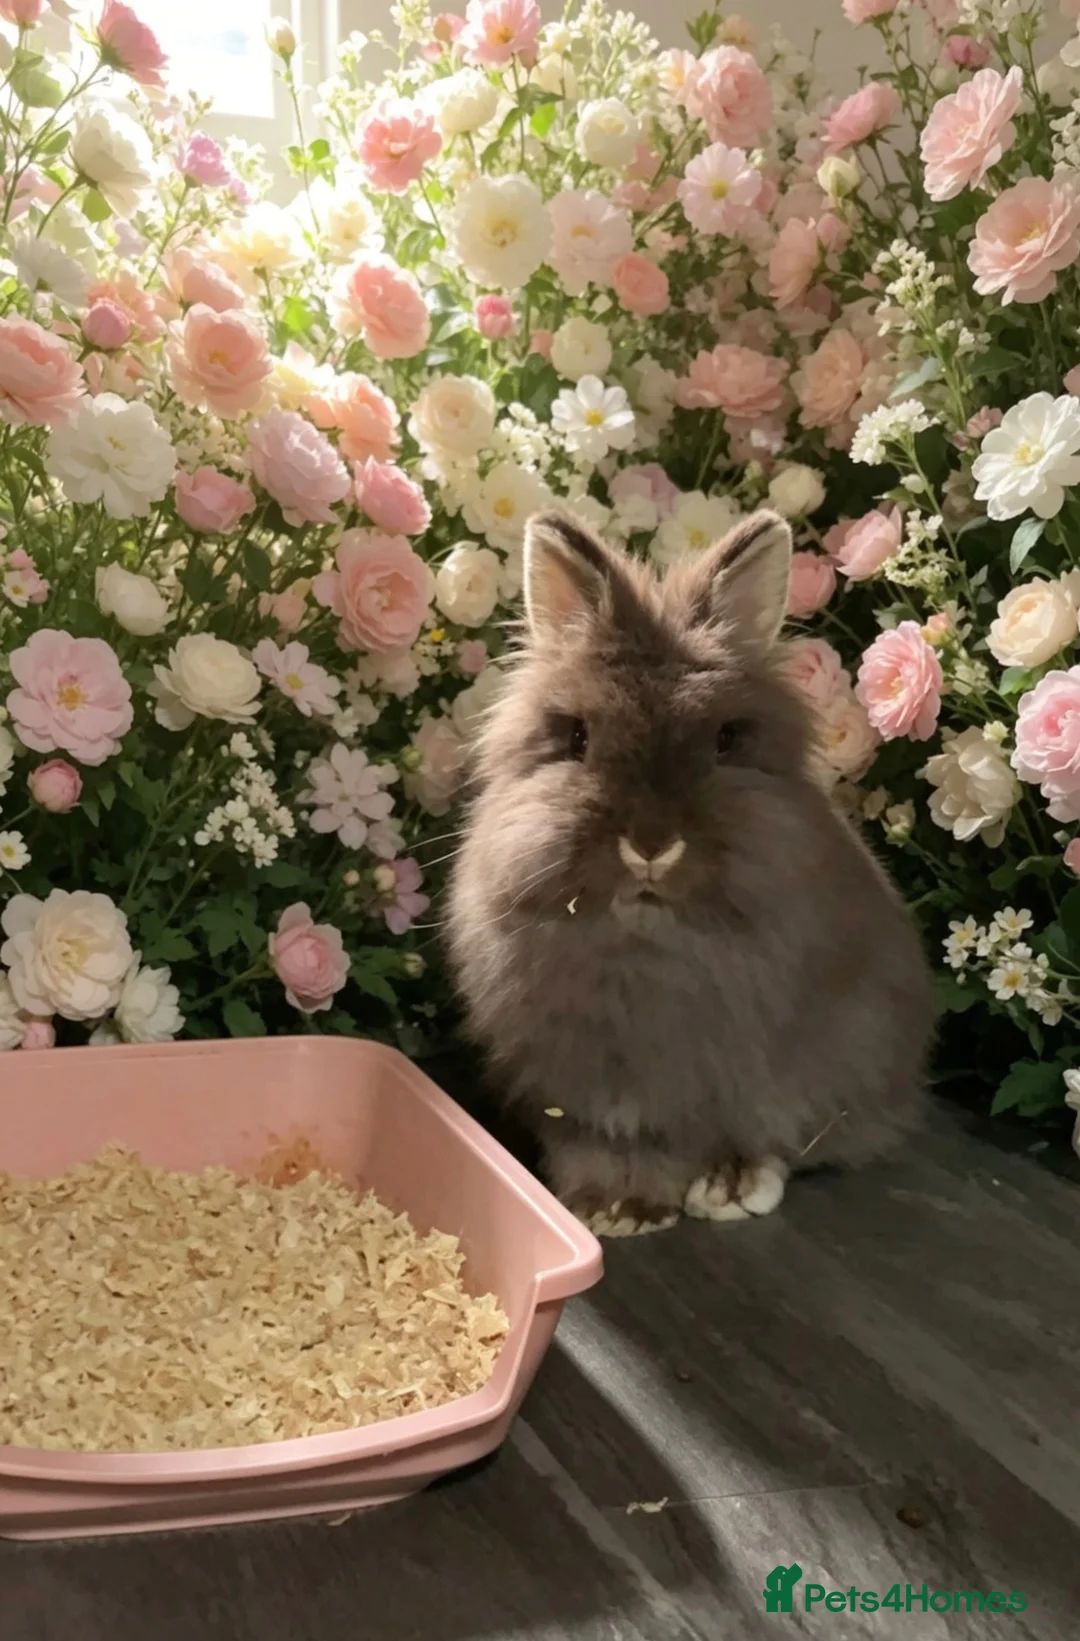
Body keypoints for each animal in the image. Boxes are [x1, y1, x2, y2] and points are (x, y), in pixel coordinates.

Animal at [446, 508, 935, 1237]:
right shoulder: (580, 1090)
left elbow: (742, 1132)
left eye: (726, 740)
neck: (647, 945)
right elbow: (600, 1143)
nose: (650, 846)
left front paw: (722, 1186)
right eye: (577, 738)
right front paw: (611, 1209)